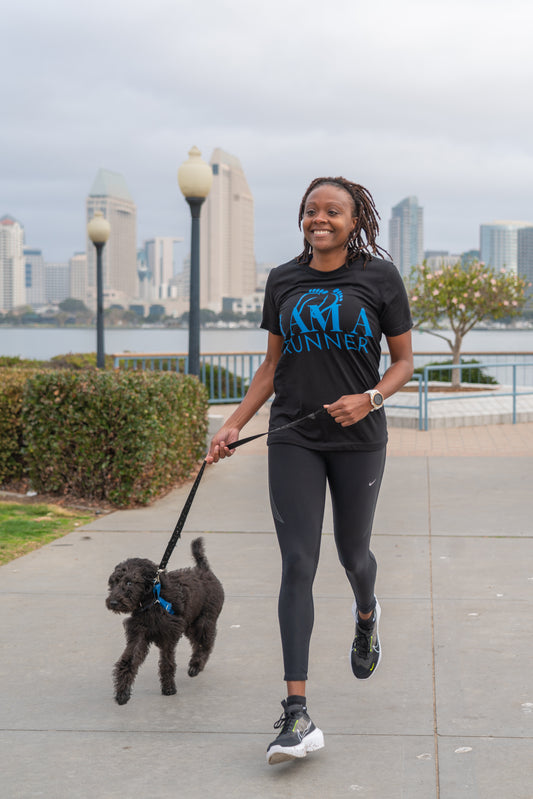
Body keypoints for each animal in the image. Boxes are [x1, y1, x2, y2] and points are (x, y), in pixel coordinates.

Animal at [105, 536, 223, 708]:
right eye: (113, 583)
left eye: (129, 583)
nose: (112, 602)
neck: (152, 601)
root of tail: (204, 569)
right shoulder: (138, 634)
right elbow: (128, 661)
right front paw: (122, 693)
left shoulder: (169, 637)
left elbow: (167, 663)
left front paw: (169, 688)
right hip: (190, 625)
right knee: (198, 643)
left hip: (204, 621)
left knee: (205, 644)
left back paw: (196, 665)